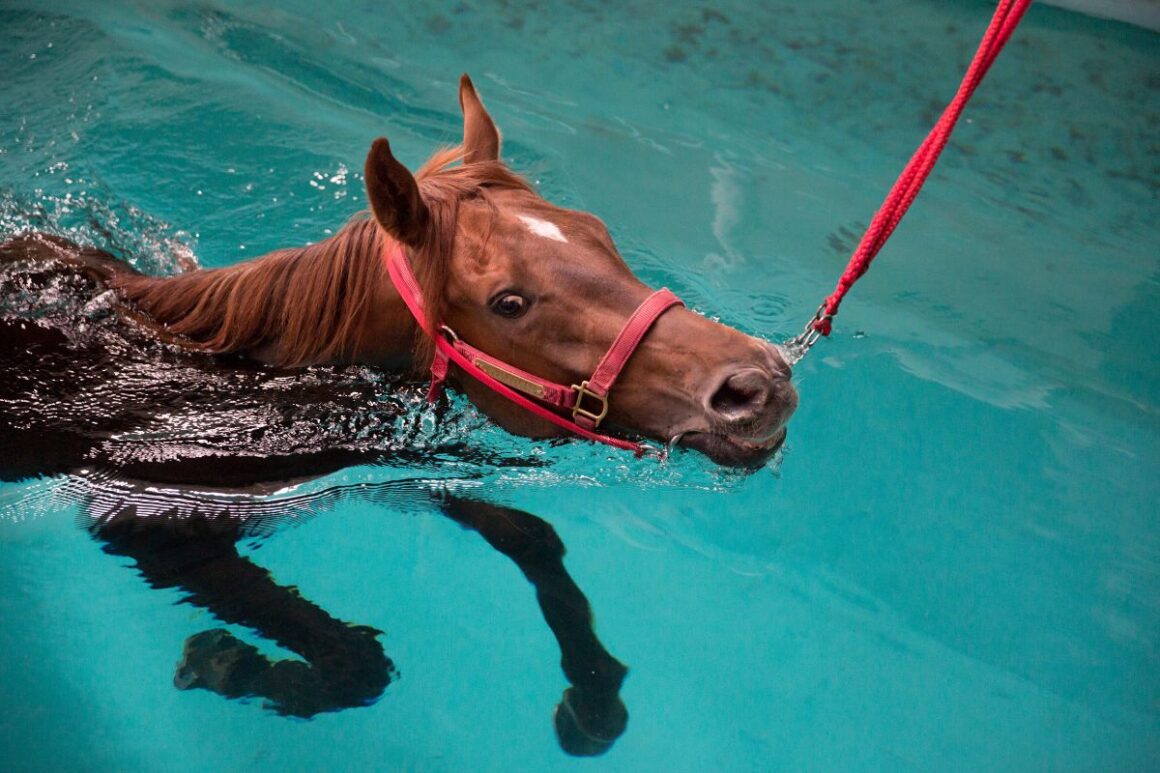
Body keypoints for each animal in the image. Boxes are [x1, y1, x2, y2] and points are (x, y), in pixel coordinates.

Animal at [0, 76, 798, 752]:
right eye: (509, 302)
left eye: (597, 230)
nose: (759, 384)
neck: (223, 375)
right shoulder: (150, 518)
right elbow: (359, 660)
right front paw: (232, 665)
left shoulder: (403, 462)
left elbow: (532, 536)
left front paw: (593, 694)